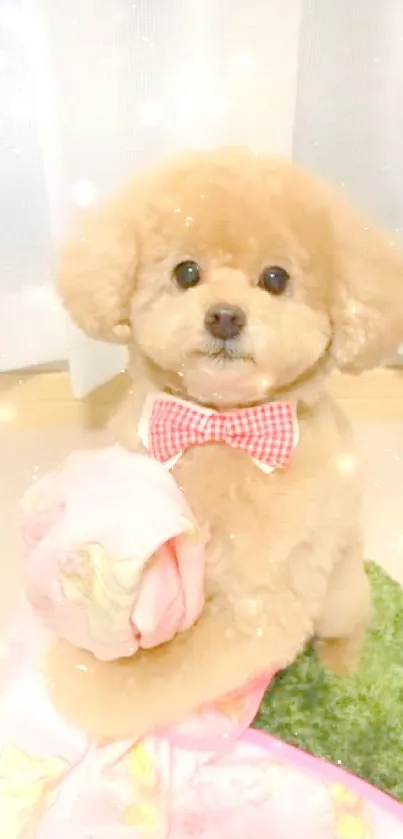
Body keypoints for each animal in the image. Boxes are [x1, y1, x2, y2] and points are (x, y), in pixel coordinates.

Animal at [49, 151, 403, 740]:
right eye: (186, 273)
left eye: (276, 279)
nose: (225, 316)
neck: (218, 426)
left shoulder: (255, 611)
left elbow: (159, 674)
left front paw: (80, 685)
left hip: (339, 590)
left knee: (353, 620)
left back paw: (342, 664)